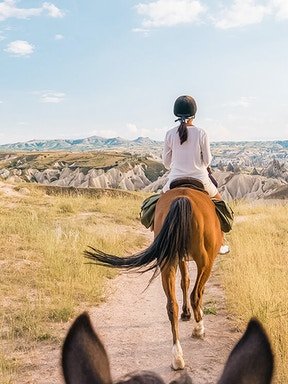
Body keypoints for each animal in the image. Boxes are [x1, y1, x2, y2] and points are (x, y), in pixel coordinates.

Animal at [85, 188, 223, 368]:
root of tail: (183, 198)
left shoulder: (180, 257)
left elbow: (184, 281)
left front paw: (186, 313)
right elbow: (193, 287)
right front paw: (193, 317)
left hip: (168, 261)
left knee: (172, 305)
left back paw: (177, 356)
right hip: (204, 261)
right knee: (196, 294)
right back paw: (198, 329)